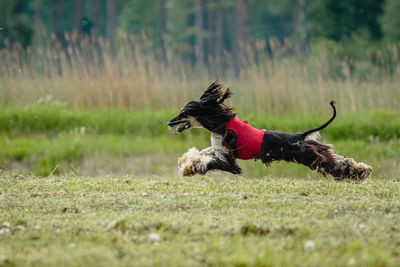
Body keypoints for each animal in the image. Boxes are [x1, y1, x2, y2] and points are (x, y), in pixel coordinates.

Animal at [167, 81, 374, 182]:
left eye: (183, 112)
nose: (169, 122)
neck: (220, 122)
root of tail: (299, 136)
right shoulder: (218, 148)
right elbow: (203, 153)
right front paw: (185, 160)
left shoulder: (229, 160)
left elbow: (209, 162)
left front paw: (188, 168)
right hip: (312, 149)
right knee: (336, 158)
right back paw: (359, 170)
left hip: (308, 154)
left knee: (329, 162)